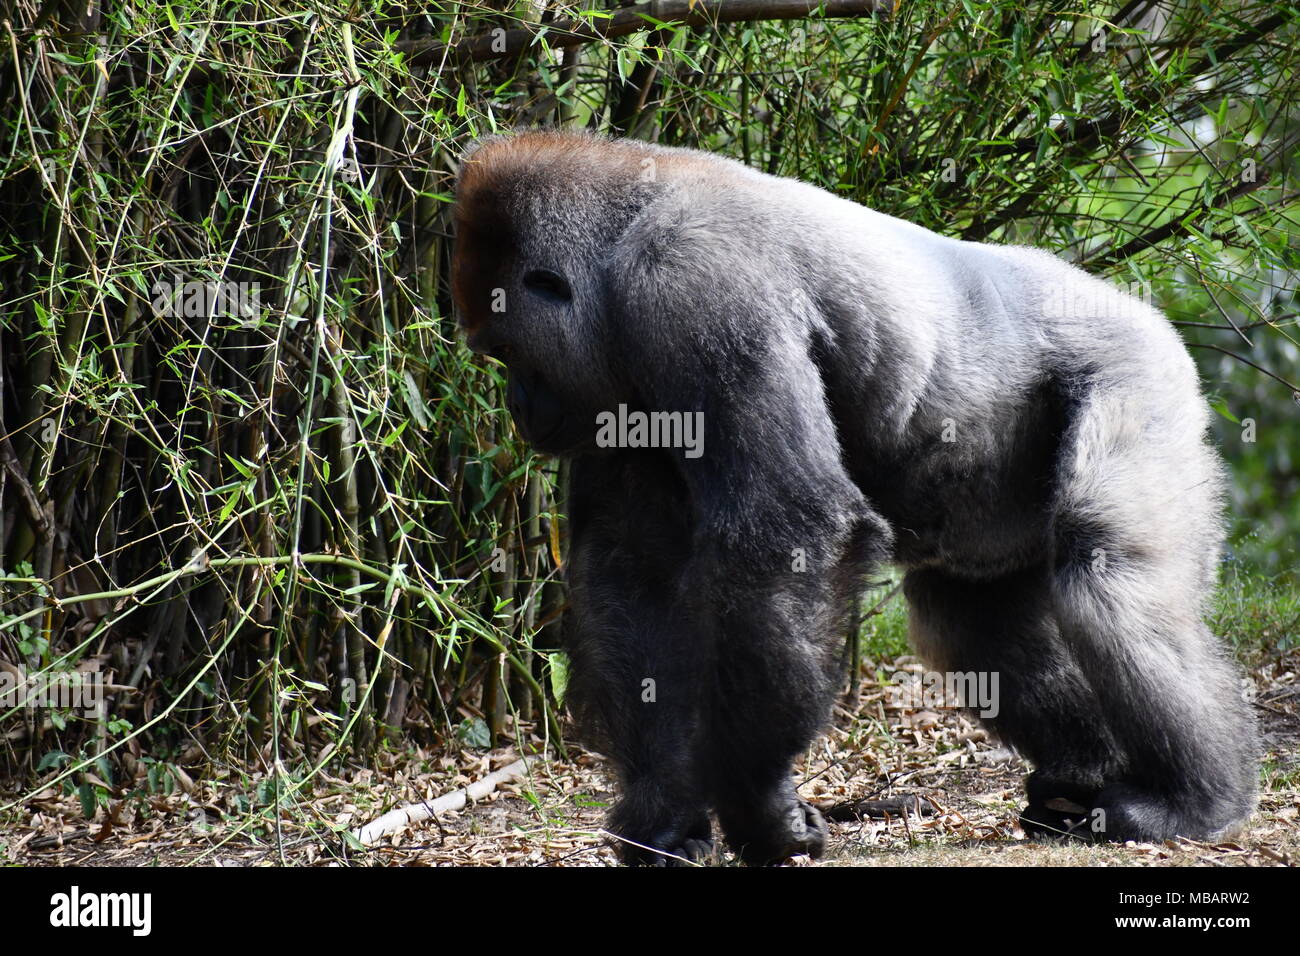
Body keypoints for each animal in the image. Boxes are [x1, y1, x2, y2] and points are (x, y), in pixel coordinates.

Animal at [449, 128, 1258, 868]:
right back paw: (1078, 777)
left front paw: (760, 810)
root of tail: (1137, 305)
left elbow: (788, 528)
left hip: (1139, 368)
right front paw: (663, 817)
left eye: (508, 352)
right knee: (970, 624)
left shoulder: (696, 288)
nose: (521, 410)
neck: (619, 244)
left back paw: (1193, 800)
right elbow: (634, 572)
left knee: (1108, 573)